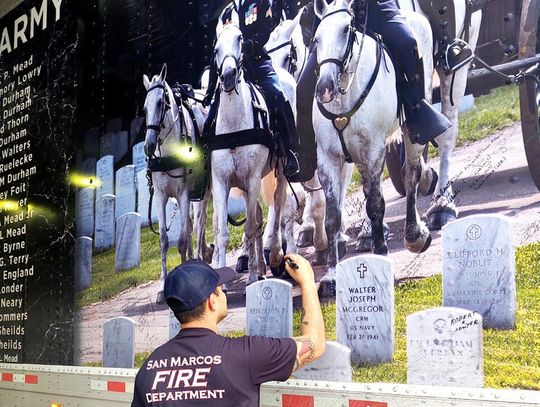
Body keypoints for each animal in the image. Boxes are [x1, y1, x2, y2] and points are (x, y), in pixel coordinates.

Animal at [143, 64, 207, 302]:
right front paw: (162, 287)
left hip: (205, 189)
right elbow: (164, 240)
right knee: (190, 225)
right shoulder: (161, 197)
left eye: (162, 103)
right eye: (144, 108)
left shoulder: (184, 194)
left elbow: (181, 240)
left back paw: (200, 257)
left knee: (199, 224)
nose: (148, 145)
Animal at [211, 23, 288, 286]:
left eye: (240, 39)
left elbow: (251, 228)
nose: (228, 76)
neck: (235, 127)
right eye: (215, 48)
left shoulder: (253, 180)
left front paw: (253, 277)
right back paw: (262, 266)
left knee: (276, 207)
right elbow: (223, 233)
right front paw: (221, 281)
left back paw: (272, 258)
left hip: (279, 173)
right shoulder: (221, 183)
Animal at [314, 0, 432, 294]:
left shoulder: (374, 151)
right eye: (316, 39)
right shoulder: (328, 159)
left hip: (412, 133)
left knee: (411, 175)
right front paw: (331, 276)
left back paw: (415, 235)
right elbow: (333, 217)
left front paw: (381, 257)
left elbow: (376, 205)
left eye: (346, 30)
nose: (325, 88)